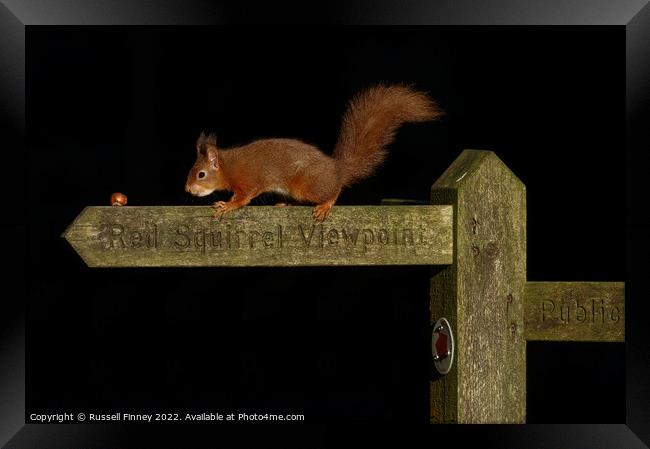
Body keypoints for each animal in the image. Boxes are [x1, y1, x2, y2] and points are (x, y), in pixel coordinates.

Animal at [185, 84, 442, 220]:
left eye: (201, 174)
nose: (187, 189)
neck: (228, 165)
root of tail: (337, 170)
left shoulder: (248, 180)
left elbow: (243, 198)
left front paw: (227, 205)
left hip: (306, 186)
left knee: (334, 190)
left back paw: (326, 204)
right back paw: (286, 204)